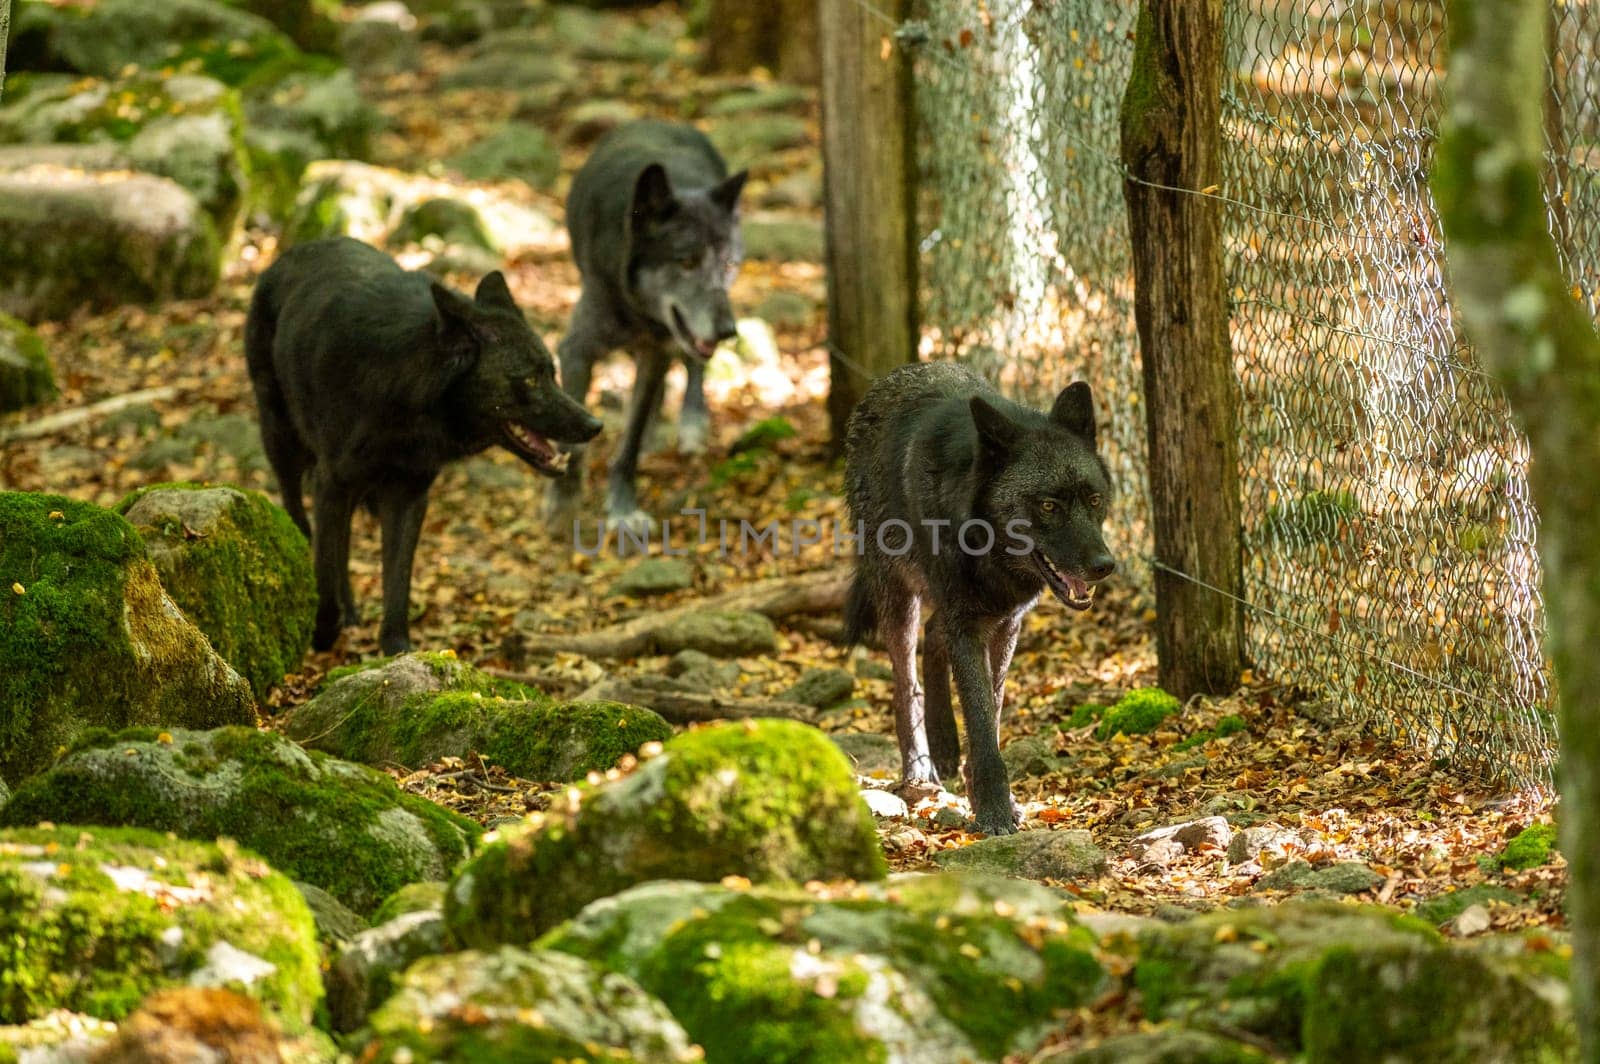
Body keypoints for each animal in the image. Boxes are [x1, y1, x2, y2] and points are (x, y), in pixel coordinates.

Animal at [243, 238, 601, 656]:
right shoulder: (332, 483)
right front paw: (322, 631)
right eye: (529, 379)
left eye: (553, 373)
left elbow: (397, 581)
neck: (402, 390)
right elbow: (326, 565)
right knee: (302, 522)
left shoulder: (409, 494)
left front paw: (397, 649)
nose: (595, 426)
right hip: (283, 445)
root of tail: (288, 254)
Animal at [844, 361, 1120, 832]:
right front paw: (993, 808)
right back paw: (921, 766)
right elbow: (977, 710)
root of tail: (894, 376)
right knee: (906, 682)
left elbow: (990, 711)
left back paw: (945, 747)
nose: (1105, 565)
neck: (987, 548)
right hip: (899, 598)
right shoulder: (968, 622)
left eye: (1095, 499)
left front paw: (985, 792)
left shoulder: (1006, 622)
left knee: (933, 638)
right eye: (1049, 506)